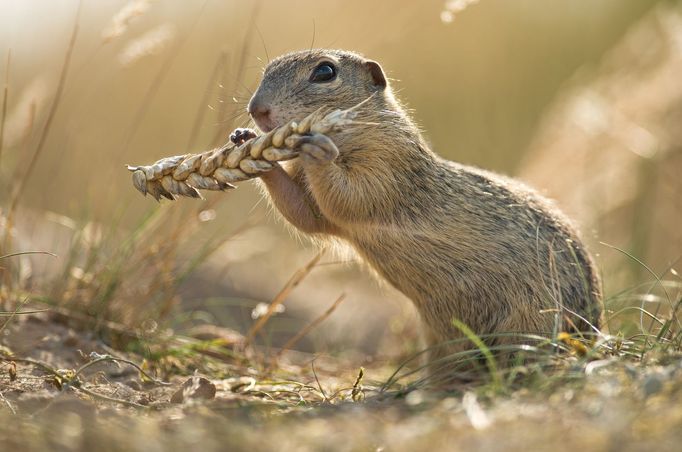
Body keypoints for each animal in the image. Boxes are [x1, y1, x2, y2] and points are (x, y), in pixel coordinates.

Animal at [232, 49, 600, 370]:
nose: (257, 110)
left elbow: (351, 195)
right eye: (266, 71)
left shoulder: (386, 167)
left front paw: (318, 151)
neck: (362, 133)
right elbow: (305, 213)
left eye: (324, 72)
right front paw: (249, 146)